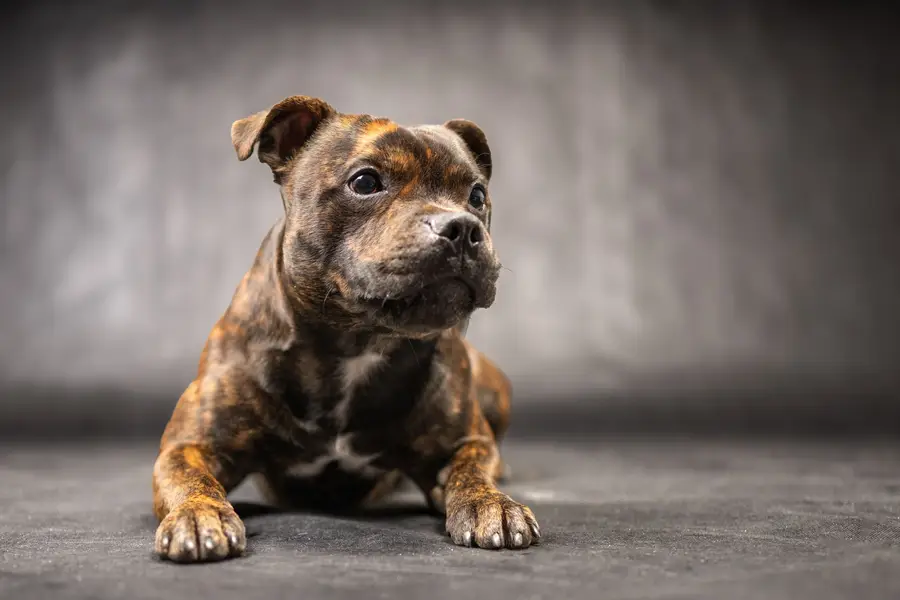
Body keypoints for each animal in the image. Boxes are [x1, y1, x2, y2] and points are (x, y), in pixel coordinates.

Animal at [151, 95, 536, 564]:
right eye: (366, 182)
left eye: (477, 195)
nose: (462, 227)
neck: (357, 341)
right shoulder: (191, 446)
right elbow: (191, 479)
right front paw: (199, 513)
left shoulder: (464, 442)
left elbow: (473, 470)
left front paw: (492, 503)